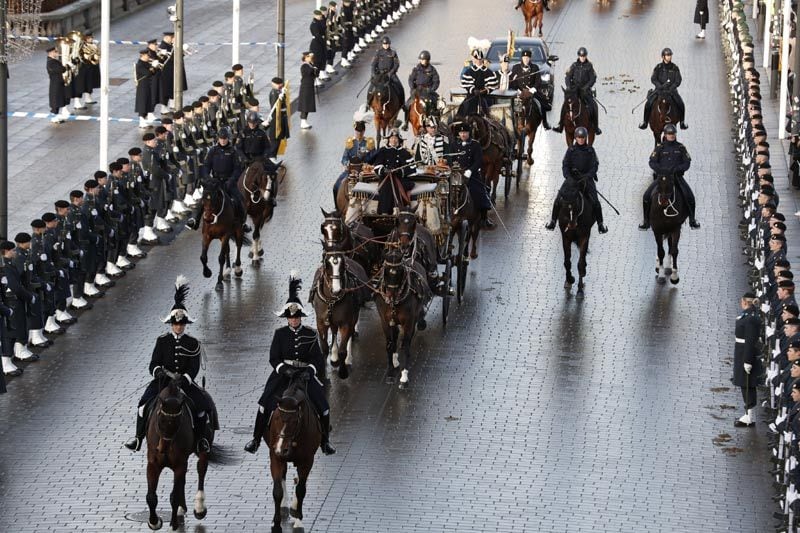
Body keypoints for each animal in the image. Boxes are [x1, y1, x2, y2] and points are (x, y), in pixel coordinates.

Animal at [268, 368, 320, 532]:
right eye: (277, 417)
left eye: (294, 421)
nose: (281, 448)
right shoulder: (275, 458)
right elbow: (277, 491)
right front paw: (276, 524)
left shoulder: (307, 460)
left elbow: (301, 490)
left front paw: (298, 520)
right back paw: (285, 506)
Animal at [314, 249, 374, 378]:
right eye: (327, 265)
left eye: (342, 266)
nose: (336, 290)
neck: (332, 300)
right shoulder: (321, 322)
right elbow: (324, 348)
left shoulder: (346, 322)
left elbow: (343, 350)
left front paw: (343, 371)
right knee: (334, 332)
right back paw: (334, 357)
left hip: (353, 316)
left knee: (350, 334)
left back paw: (347, 360)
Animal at [376, 247, 432, 388]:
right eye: (385, 271)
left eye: (400, 271)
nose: (391, 296)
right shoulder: (385, 321)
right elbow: (389, 345)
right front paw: (390, 373)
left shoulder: (409, 321)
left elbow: (406, 346)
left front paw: (404, 377)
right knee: (395, 336)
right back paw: (395, 359)